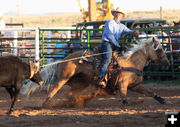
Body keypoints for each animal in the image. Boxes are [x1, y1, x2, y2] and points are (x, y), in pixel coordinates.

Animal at [42, 36, 170, 106]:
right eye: (159, 50)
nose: (167, 64)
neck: (131, 62)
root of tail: (63, 59)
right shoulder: (122, 83)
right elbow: (124, 98)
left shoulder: (135, 85)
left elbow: (150, 92)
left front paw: (164, 101)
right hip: (63, 78)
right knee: (53, 90)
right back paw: (45, 104)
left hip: (80, 83)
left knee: (70, 94)